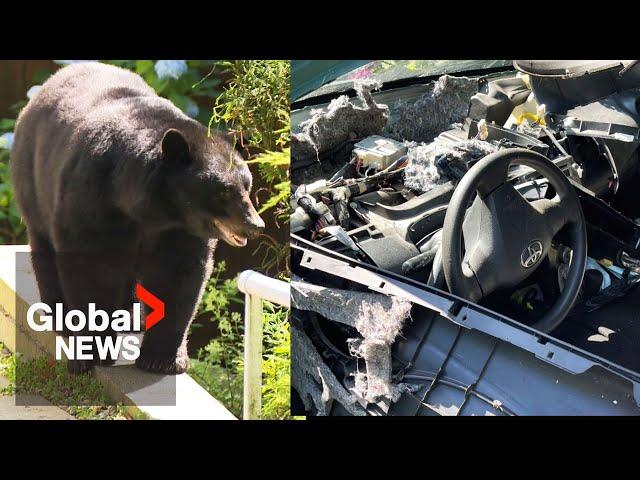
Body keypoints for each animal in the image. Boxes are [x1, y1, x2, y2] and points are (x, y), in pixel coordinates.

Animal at [10, 61, 264, 376]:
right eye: (224, 191)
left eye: (247, 184)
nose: (255, 225)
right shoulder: (90, 201)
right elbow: (90, 270)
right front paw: (89, 354)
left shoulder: (180, 230)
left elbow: (178, 275)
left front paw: (163, 359)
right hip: (33, 183)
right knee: (45, 251)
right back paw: (60, 316)